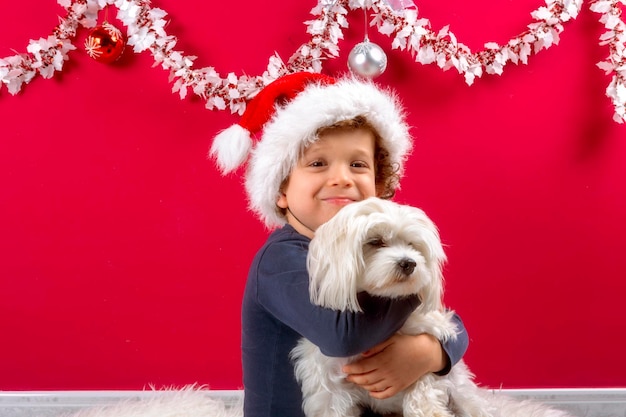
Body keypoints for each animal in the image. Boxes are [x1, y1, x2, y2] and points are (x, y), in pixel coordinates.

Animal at [290, 197, 572, 416]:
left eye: (413, 244)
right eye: (376, 241)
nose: (409, 263)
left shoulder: (425, 351)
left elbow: (423, 387)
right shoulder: (329, 387)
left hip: (464, 395)